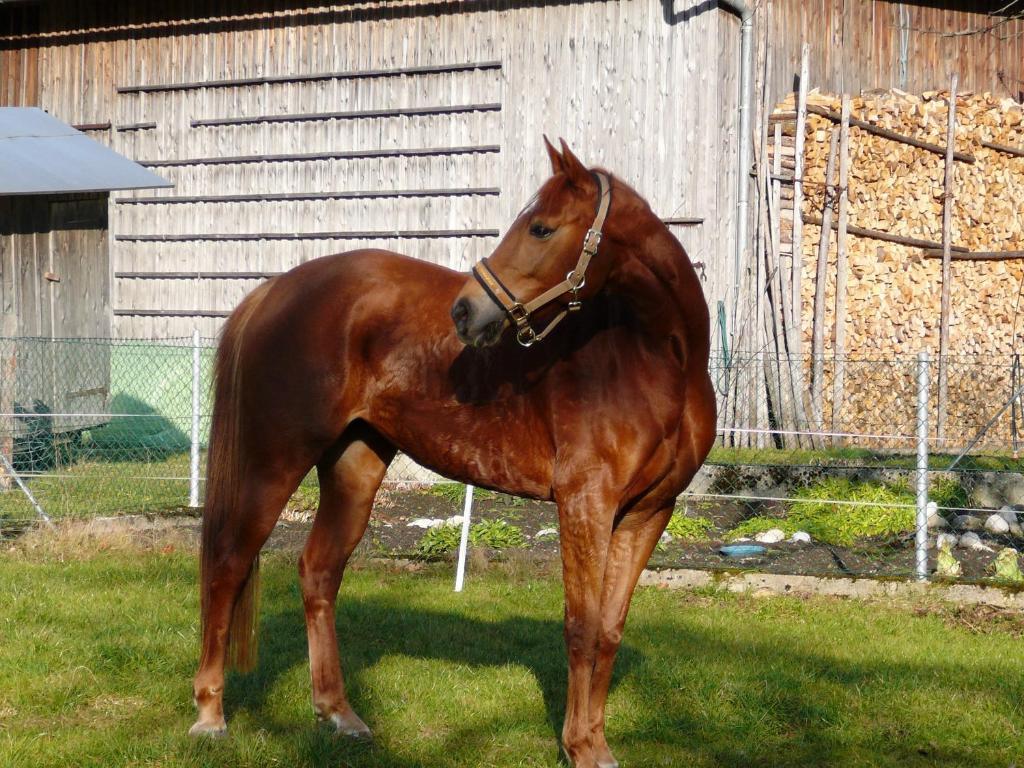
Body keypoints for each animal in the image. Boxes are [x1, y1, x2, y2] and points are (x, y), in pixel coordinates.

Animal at [193, 140, 720, 768]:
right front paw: (580, 747)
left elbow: (611, 629)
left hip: (354, 465)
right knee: (227, 563)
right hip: (274, 458)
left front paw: (597, 744)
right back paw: (210, 715)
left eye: (541, 227)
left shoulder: (648, 512)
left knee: (318, 571)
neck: (652, 362)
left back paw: (339, 714)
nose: (466, 312)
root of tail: (274, 290)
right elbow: (582, 627)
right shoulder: (585, 504)